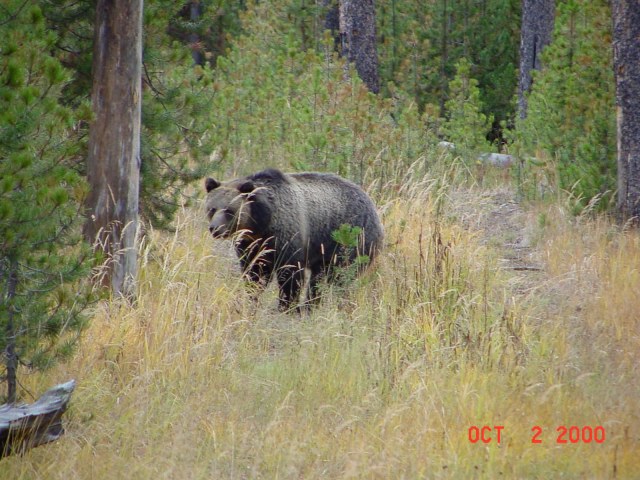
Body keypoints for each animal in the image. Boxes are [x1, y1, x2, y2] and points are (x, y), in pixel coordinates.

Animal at [204, 168, 384, 311]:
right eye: (212, 209)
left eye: (229, 210)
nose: (215, 228)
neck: (262, 222)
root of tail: (371, 203)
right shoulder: (252, 245)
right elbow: (254, 273)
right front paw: (251, 298)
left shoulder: (287, 236)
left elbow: (290, 275)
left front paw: (286, 306)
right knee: (319, 279)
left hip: (351, 241)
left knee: (340, 276)